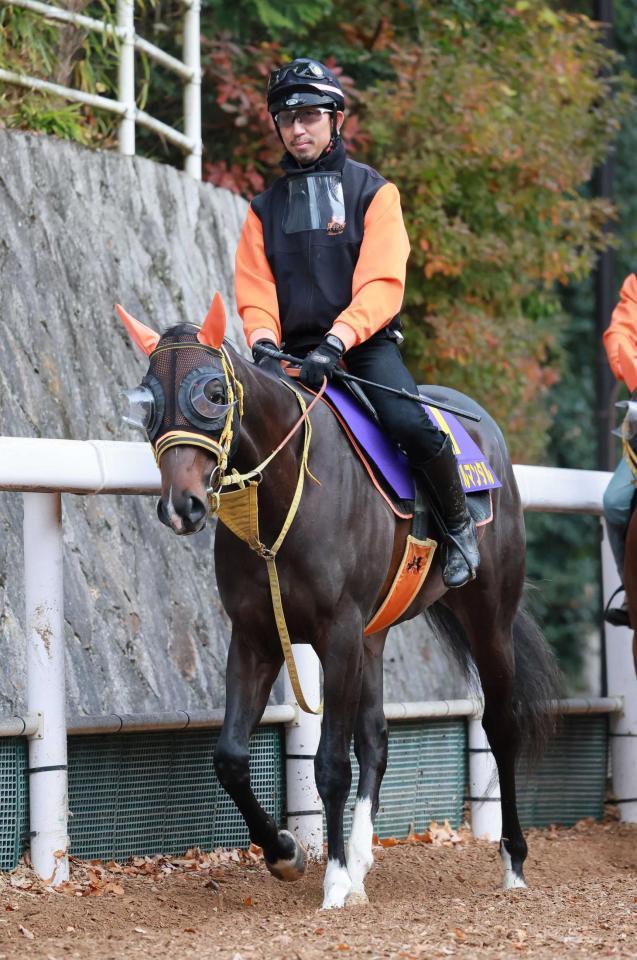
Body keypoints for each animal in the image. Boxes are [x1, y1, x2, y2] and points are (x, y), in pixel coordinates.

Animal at [118, 296, 556, 912]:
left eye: (214, 394)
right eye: (149, 400)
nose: (182, 507)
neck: (284, 496)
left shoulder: (338, 633)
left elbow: (328, 764)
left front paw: (334, 880)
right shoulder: (257, 636)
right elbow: (230, 757)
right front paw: (286, 853)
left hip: (487, 617)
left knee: (501, 725)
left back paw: (512, 863)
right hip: (374, 635)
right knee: (376, 739)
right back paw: (365, 860)